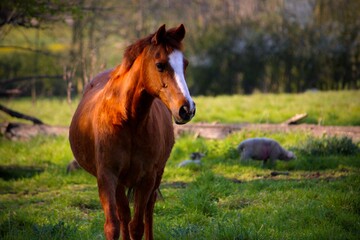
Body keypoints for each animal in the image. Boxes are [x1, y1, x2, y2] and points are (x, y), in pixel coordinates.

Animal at [69, 23, 195, 239]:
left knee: (148, 212)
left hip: (156, 175)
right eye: (160, 65)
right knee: (124, 216)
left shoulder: (147, 178)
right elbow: (114, 225)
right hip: (121, 182)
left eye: (184, 64)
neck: (129, 120)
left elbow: (137, 226)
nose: (187, 109)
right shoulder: (107, 176)